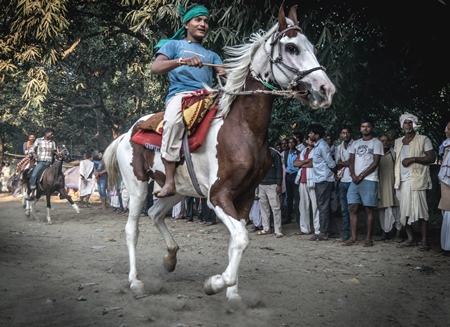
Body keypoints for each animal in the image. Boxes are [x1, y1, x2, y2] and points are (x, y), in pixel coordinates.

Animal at [103, 4, 334, 302]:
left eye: (313, 47)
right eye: (292, 47)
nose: (326, 90)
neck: (244, 128)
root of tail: (125, 134)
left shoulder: (245, 195)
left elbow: (237, 240)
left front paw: (232, 295)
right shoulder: (217, 196)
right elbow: (241, 239)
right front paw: (215, 283)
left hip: (177, 188)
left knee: (155, 213)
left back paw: (170, 258)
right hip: (137, 185)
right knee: (132, 228)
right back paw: (135, 281)